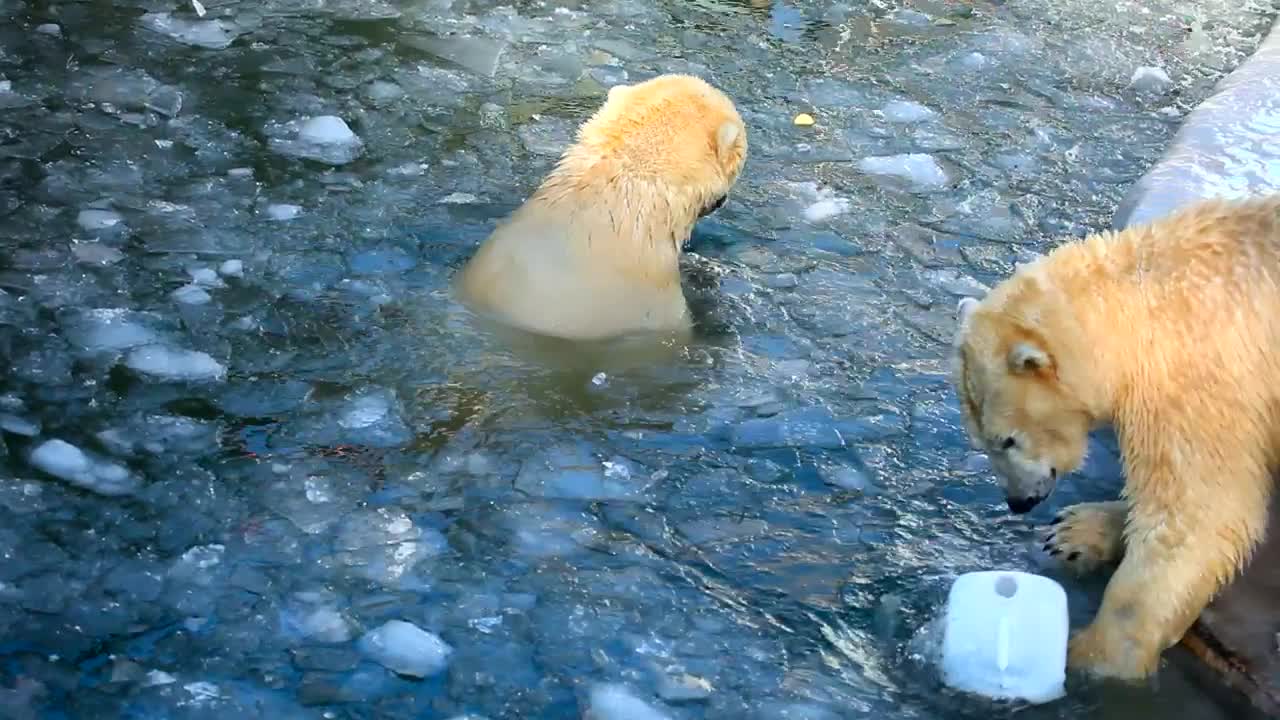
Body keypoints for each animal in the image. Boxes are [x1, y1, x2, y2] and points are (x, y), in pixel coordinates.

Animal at [948, 193, 1280, 681]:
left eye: (1007, 440)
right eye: (981, 442)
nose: (1018, 502)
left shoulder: (1199, 383)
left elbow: (1198, 515)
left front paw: (1089, 655)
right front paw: (1075, 531)